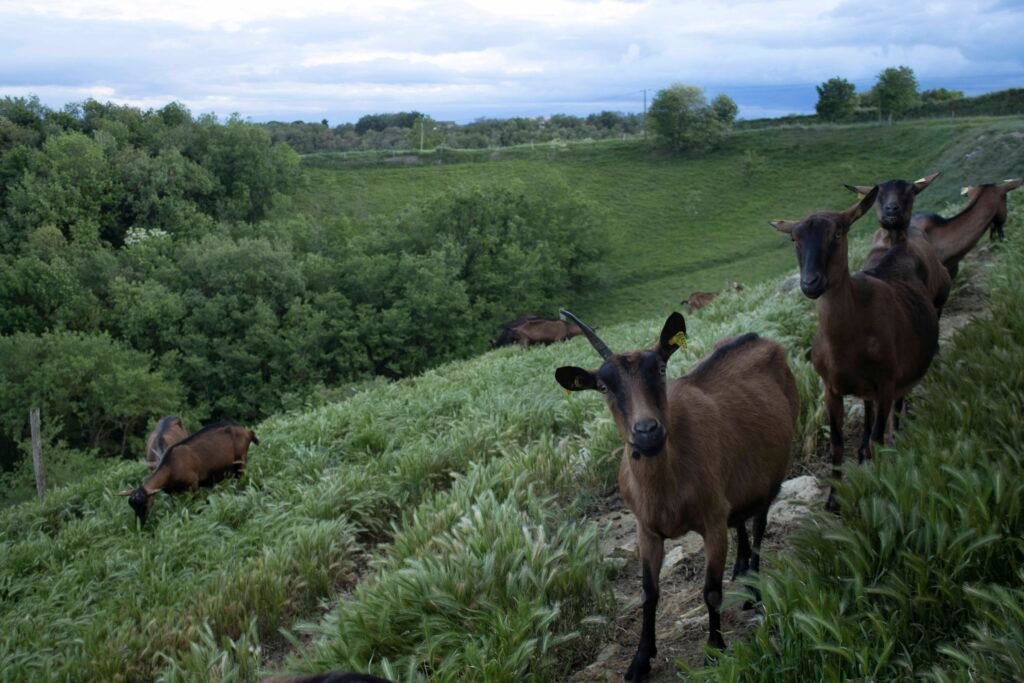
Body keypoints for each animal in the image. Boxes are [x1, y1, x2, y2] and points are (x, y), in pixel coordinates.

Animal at [118, 421, 258, 524]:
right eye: (132, 505)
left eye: (145, 502)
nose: (140, 523)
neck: (170, 467)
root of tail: (248, 431)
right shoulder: (173, 492)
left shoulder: (194, 484)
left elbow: (196, 504)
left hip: (241, 461)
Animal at [555, 309, 798, 679]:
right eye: (603, 386)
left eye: (661, 368)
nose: (647, 432)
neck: (667, 488)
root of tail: (762, 339)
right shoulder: (647, 529)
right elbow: (649, 593)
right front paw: (640, 660)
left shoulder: (712, 522)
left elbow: (711, 591)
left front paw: (715, 648)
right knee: (742, 520)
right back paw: (740, 569)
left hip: (774, 471)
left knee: (759, 524)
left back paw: (753, 589)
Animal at [771, 188, 939, 512]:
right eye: (794, 239)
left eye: (838, 232)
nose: (811, 283)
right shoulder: (830, 388)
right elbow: (838, 443)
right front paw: (833, 499)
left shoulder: (886, 382)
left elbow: (877, 436)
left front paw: (879, 486)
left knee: (895, 410)